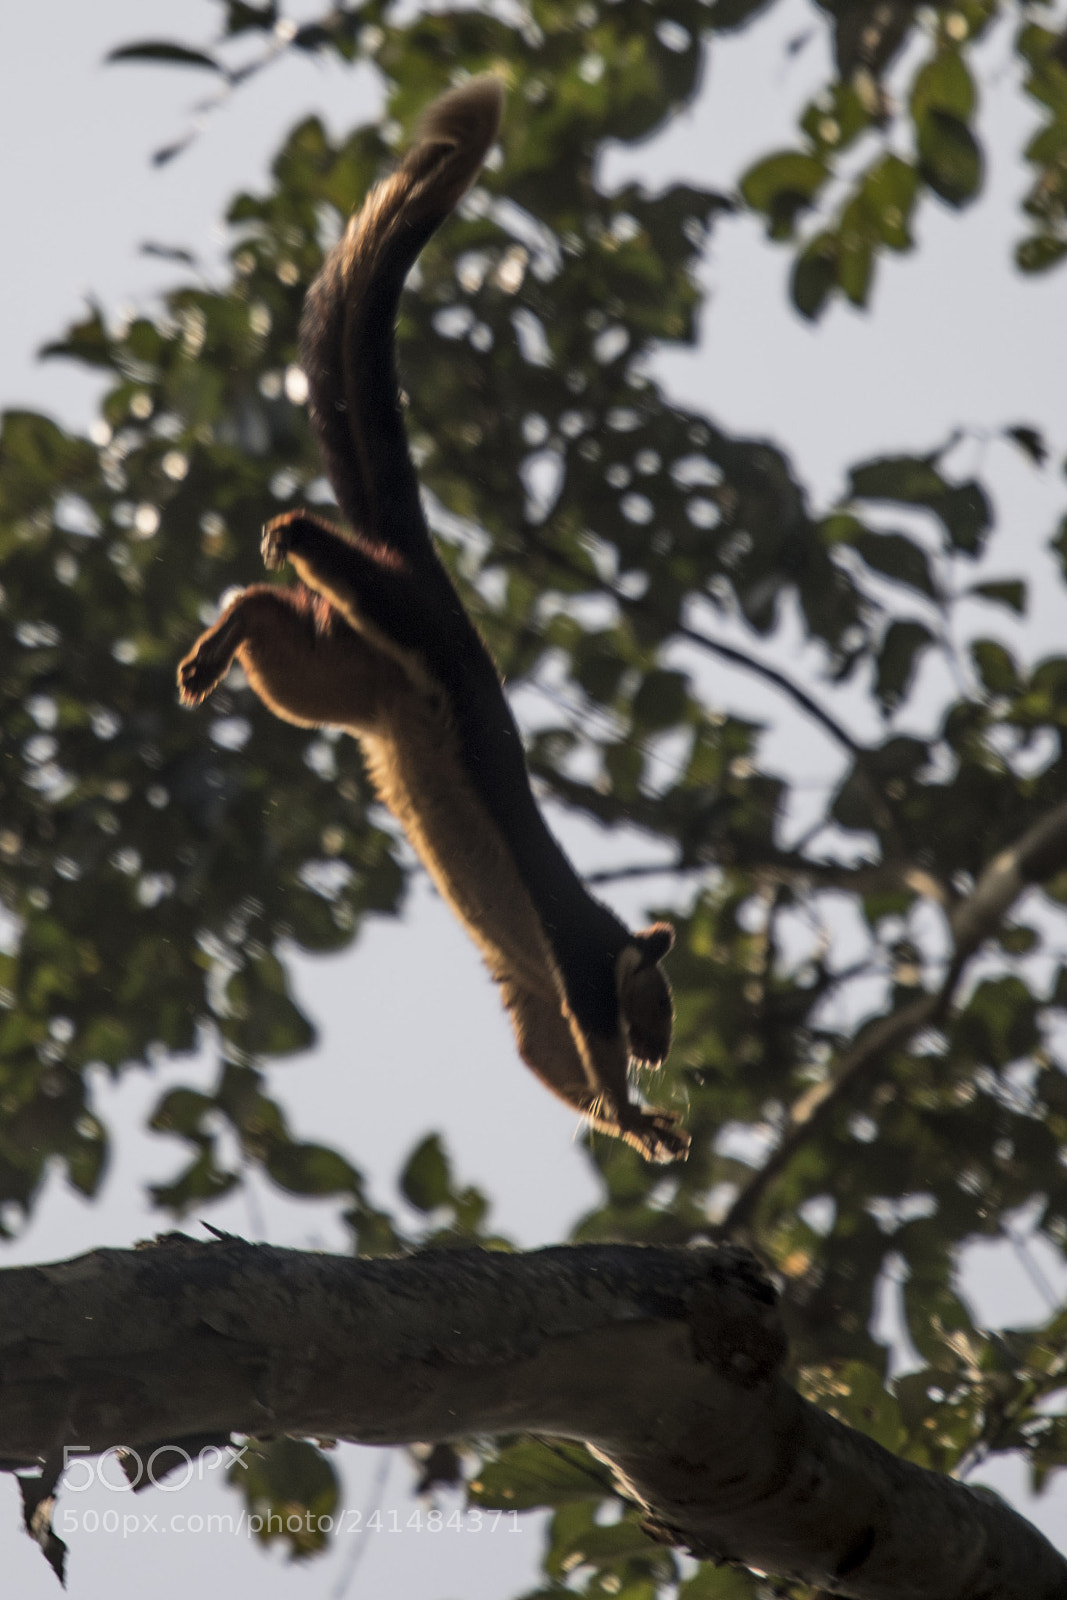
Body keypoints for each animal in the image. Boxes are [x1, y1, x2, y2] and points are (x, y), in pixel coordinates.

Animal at [178, 77, 688, 1163]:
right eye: (655, 1004)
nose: (665, 1054)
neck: (599, 946)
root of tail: (420, 565)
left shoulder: (530, 1001)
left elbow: (544, 1063)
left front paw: (645, 1132)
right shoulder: (575, 963)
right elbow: (583, 1047)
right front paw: (634, 1109)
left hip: (343, 681)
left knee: (276, 624)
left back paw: (212, 652)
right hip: (408, 624)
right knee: (342, 576)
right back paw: (291, 532)